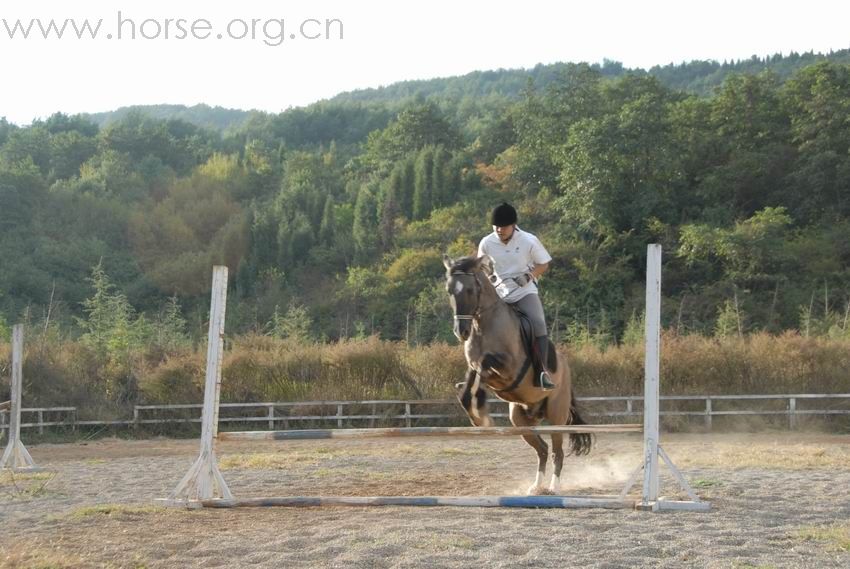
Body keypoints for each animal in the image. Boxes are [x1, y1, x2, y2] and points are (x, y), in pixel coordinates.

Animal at [440, 253, 592, 492]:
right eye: (449, 291)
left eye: (470, 290)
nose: (461, 332)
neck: (484, 324)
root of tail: (566, 370)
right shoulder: (477, 367)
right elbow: (470, 381)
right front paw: (477, 414)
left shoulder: (509, 369)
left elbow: (484, 364)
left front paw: (480, 409)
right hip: (519, 419)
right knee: (542, 449)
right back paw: (535, 487)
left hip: (556, 414)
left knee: (557, 451)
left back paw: (554, 487)